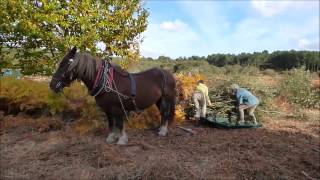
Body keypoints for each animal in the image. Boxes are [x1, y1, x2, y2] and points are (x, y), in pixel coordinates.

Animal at [49, 47, 178, 145]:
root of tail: (167, 73)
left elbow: (119, 124)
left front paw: (121, 140)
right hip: (159, 100)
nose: (52, 85)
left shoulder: (117, 108)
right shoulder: (107, 109)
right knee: (162, 113)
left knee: (165, 113)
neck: (106, 81)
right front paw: (112, 137)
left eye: (64, 65)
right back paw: (161, 128)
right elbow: (111, 123)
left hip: (166, 99)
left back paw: (163, 131)